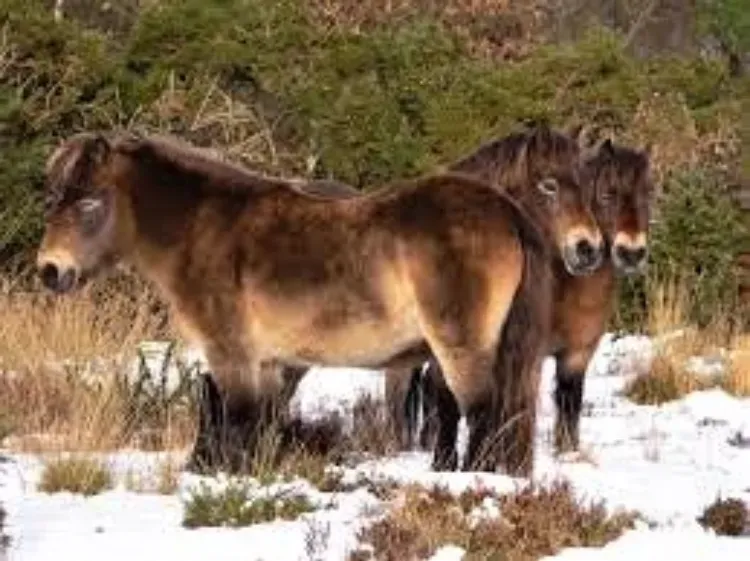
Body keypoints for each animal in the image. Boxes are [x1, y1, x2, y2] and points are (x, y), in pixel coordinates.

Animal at [36, 129, 604, 474]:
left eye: (89, 202)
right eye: (56, 198)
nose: (50, 270)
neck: (207, 229)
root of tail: (504, 211)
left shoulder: (232, 356)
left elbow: (237, 422)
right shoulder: (270, 363)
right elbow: (257, 427)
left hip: (460, 348)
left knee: (483, 414)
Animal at [400, 132, 656, 464]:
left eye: (648, 193)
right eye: (607, 194)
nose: (632, 252)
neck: (566, 288)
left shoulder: (576, 355)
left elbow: (569, 404)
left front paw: (567, 454)